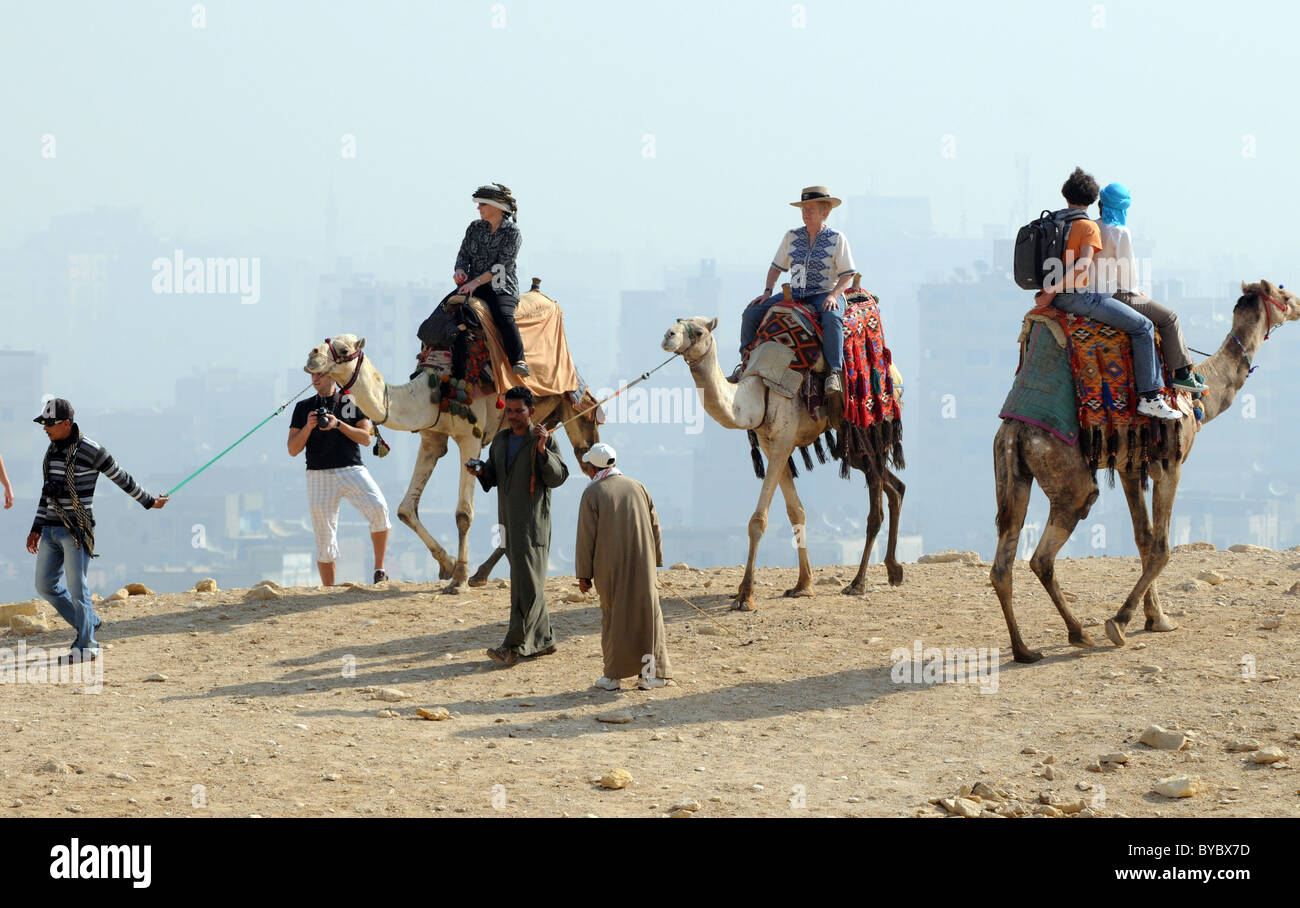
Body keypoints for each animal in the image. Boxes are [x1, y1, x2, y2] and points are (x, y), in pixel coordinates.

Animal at [301, 330, 595, 587]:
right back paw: (482, 573)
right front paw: (449, 565)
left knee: (584, 456)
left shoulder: (470, 438)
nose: (312, 355)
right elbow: (405, 509)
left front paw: (459, 578)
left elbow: (463, 513)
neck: (431, 392)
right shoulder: (432, 439)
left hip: (573, 407)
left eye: (343, 350)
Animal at [987, 275, 1294, 658]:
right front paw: (1120, 622)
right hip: (1068, 480)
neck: (1200, 397)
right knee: (1044, 552)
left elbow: (1143, 539)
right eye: (1283, 293)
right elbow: (1161, 546)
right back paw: (1078, 633)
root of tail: (1015, 429)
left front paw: (1156, 618)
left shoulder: (1129, 466)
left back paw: (1024, 650)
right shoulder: (1171, 462)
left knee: (1003, 561)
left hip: (1011, 471)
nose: (1298, 304)